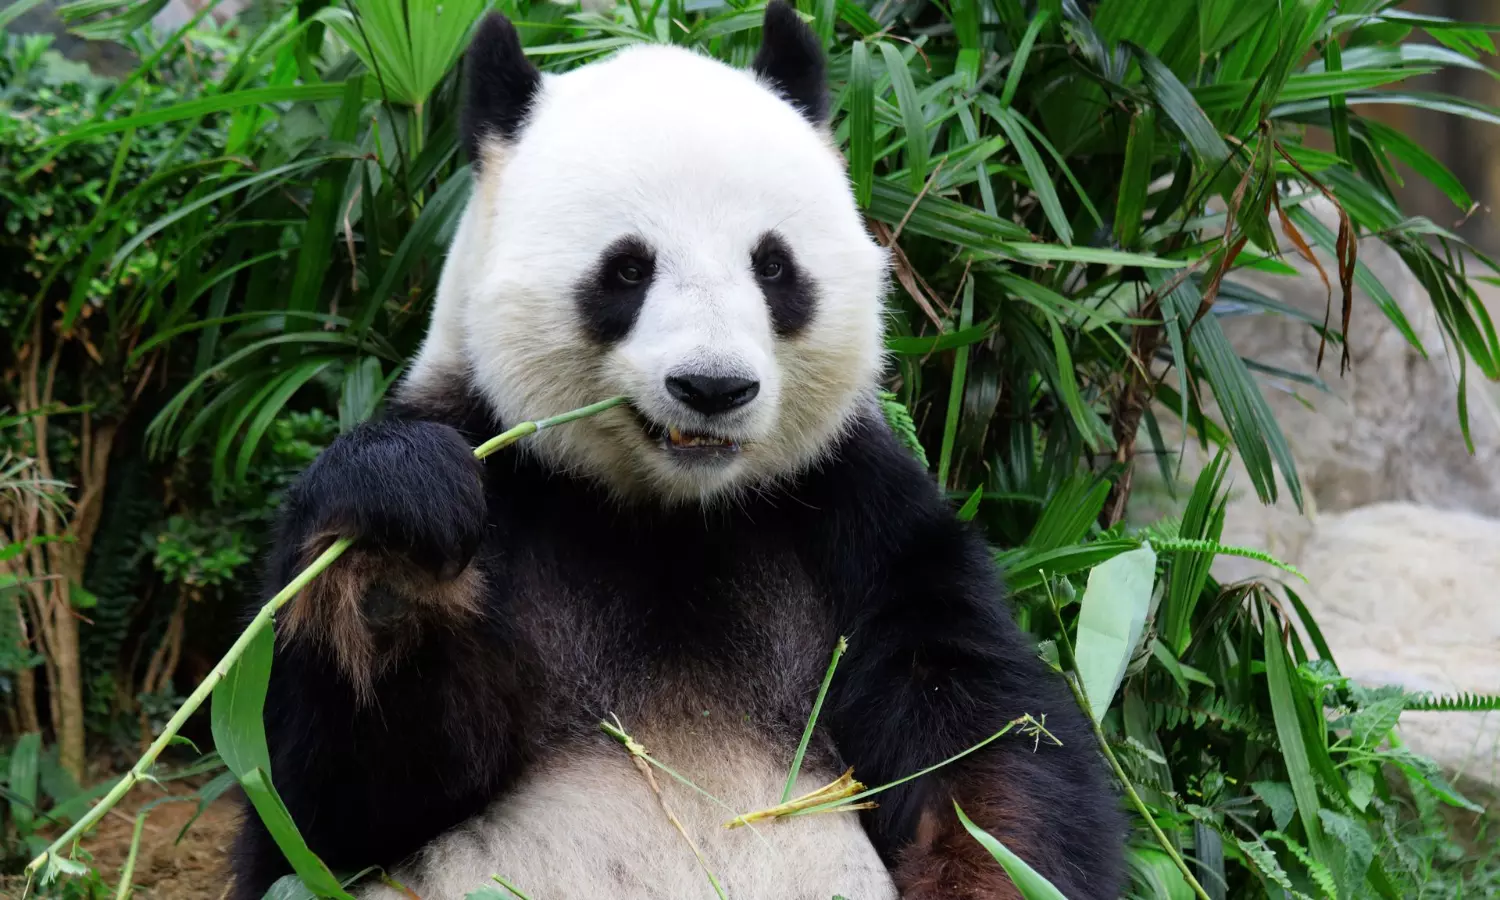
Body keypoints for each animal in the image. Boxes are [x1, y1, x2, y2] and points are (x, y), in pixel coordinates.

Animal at [230, 5, 1127, 899]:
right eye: (627, 269)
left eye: (774, 266)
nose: (713, 387)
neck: (671, 512)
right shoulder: (501, 470)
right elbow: (325, 807)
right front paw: (394, 552)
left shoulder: (856, 512)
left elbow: (984, 740)